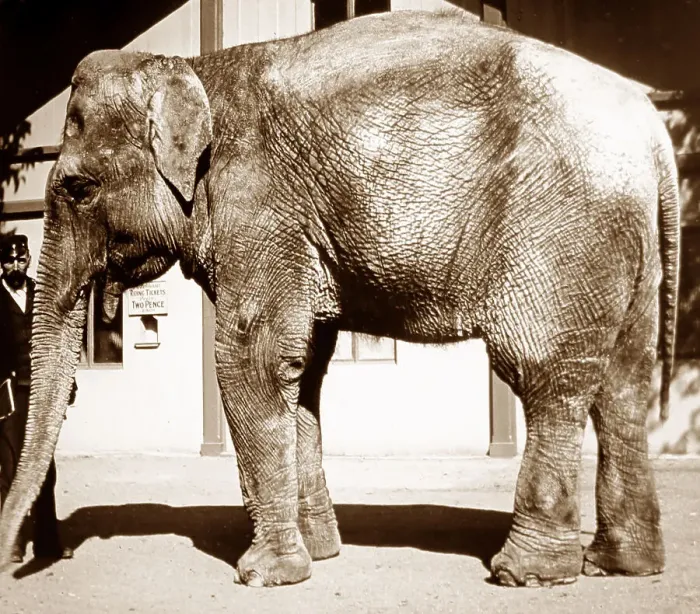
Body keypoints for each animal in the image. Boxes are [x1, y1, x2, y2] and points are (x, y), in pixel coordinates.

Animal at [0, 9, 679, 588]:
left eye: (78, 188)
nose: (13, 561)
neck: (194, 66)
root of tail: (651, 126)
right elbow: (302, 369)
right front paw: (321, 553)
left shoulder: (258, 202)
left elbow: (250, 358)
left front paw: (266, 575)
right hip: (626, 243)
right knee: (623, 381)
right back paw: (620, 565)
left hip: (560, 229)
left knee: (545, 375)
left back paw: (528, 573)